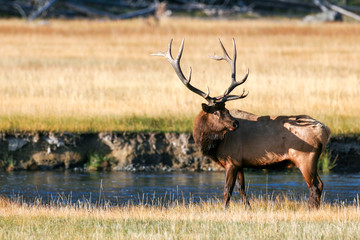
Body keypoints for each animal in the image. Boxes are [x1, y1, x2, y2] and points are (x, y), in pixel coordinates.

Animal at [153, 39, 330, 208]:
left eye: (226, 110)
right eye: (216, 111)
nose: (235, 124)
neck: (213, 144)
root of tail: (326, 131)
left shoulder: (231, 160)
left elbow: (227, 190)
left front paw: (224, 209)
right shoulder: (239, 163)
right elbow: (241, 188)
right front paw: (248, 208)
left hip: (305, 158)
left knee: (315, 186)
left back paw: (310, 209)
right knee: (319, 184)